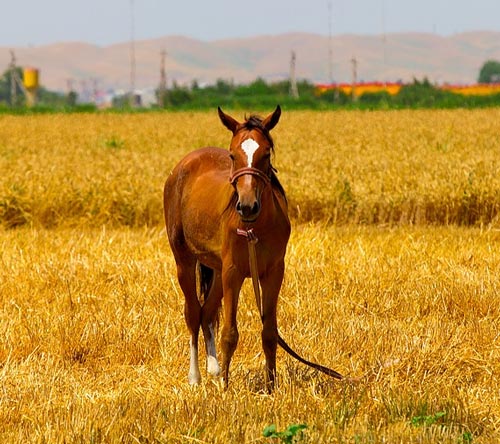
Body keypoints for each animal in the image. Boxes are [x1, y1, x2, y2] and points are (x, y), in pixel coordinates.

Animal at [162, 106, 342, 390]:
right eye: (233, 154)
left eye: (266, 153)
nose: (247, 206)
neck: (255, 226)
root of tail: (183, 165)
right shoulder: (233, 272)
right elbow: (229, 333)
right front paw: (226, 387)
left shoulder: (273, 272)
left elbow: (269, 332)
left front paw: (270, 386)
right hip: (184, 260)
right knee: (192, 313)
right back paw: (196, 377)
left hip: (216, 269)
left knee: (207, 312)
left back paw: (214, 370)